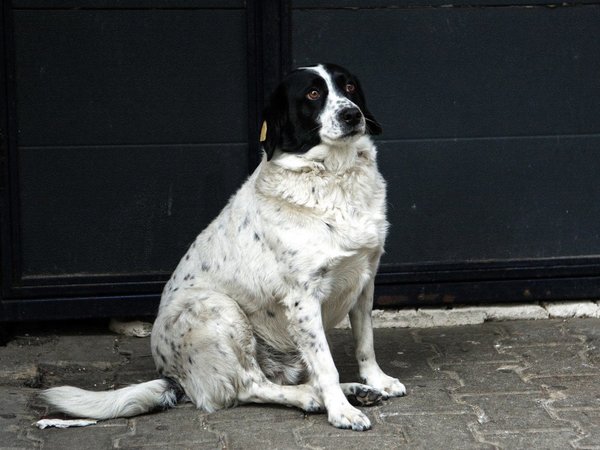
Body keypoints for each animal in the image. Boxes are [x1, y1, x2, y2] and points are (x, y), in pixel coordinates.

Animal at [41, 64, 408, 432]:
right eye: (313, 94)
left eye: (349, 86)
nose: (352, 114)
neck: (333, 176)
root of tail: (172, 377)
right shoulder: (303, 297)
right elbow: (326, 364)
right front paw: (341, 411)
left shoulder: (365, 279)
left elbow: (365, 343)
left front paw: (376, 380)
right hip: (218, 308)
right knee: (250, 385)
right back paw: (313, 398)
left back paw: (355, 390)